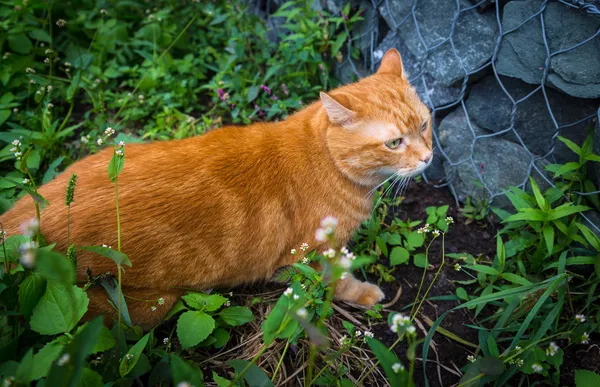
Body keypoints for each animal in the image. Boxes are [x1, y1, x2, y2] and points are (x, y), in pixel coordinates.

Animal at [0, 47, 432, 328]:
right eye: (394, 142)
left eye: (426, 124)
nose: (429, 157)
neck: (326, 157)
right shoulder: (312, 255)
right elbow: (337, 281)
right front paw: (365, 294)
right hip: (148, 307)